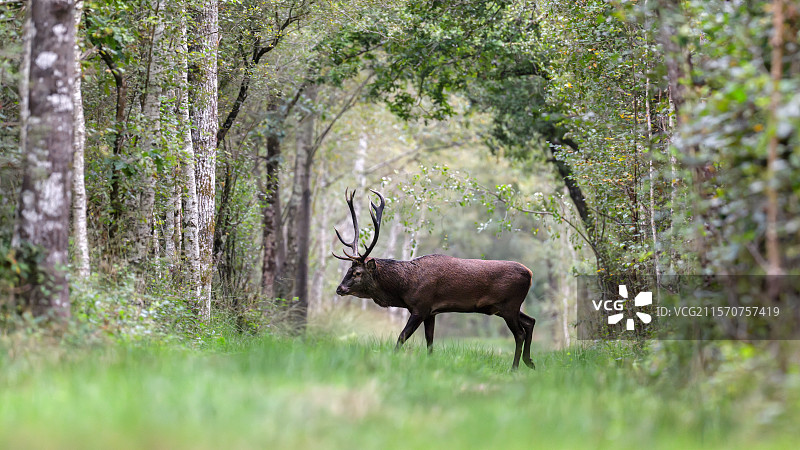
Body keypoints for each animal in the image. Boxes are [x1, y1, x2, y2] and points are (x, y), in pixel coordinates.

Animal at [333, 189, 536, 370]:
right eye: (349, 269)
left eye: (357, 273)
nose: (339, 288)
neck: (405, 287)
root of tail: (530, 274)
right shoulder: (432, 311)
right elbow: (429, 342)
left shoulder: (421, 307)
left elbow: (401, 337)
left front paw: (392, 359)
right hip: (505, 307)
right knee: (530, 321)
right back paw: (530, 362)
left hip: (509, 304)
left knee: (519, 333)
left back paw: (515, 368)